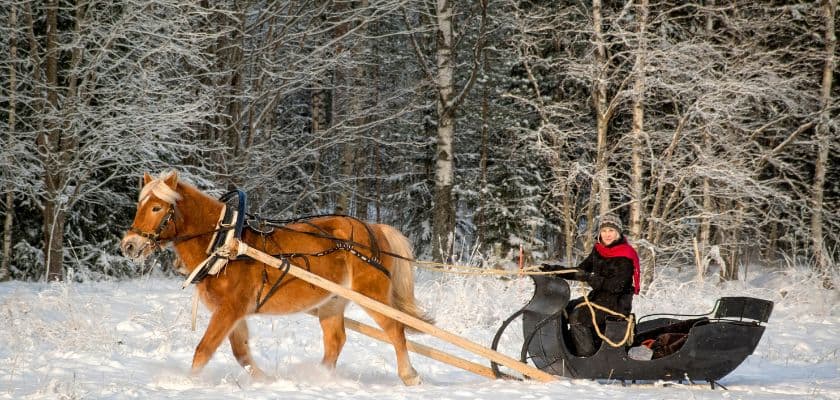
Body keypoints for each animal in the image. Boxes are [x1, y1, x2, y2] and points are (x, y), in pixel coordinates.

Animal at [120, 171, 432, 385]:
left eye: (157, 207)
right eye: (140, 204)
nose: (129, 245)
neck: (226, 242)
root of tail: (373, 228)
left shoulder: (230, 309)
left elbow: (204, 350)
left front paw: (188, 382)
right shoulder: (233, 313)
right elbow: (241, 353)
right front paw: (266, 380)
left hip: (372, 296)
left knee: (396, 330)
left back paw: (409, 375)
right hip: (332, 302)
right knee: (336, 341)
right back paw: (319, 377)